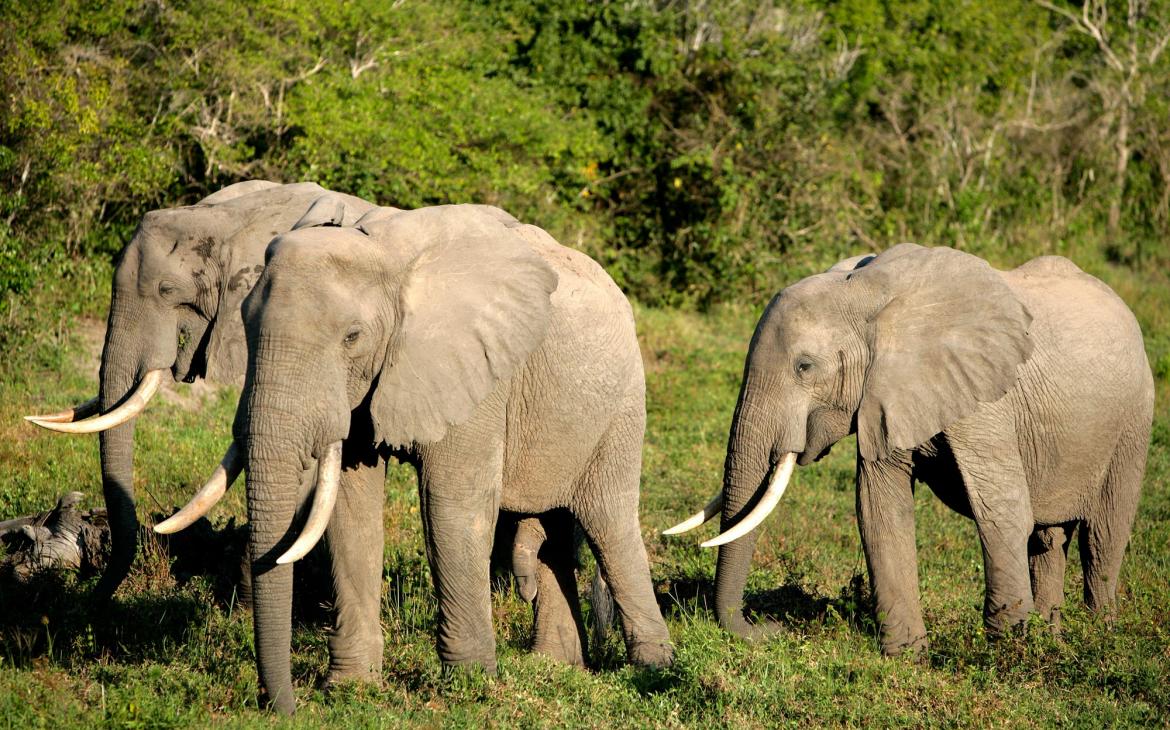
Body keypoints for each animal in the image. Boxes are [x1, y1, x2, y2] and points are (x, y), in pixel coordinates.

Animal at [169, 201, 673, 711]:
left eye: (352, 336)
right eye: (246, 325)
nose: (285, 708)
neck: (385, 257)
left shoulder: (474, 370)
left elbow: (452, 505)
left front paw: (469, 687)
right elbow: (350, 511)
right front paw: (350, 687)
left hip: (621, 406)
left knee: (608, 522)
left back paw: (653, 668)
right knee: (556, 527)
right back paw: (555, 665)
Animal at [669, 245, 1151, 655]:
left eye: (804, 367)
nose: (769, 628)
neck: (867, 295)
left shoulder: (985, 398)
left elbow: (1002, 509)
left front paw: (1004, 655)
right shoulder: (883, 393)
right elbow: (879, 510)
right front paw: (907, 657)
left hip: (1134, 424)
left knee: (1102, 538)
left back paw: (1096, 637)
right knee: (1048, 541)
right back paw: (1053, 642)